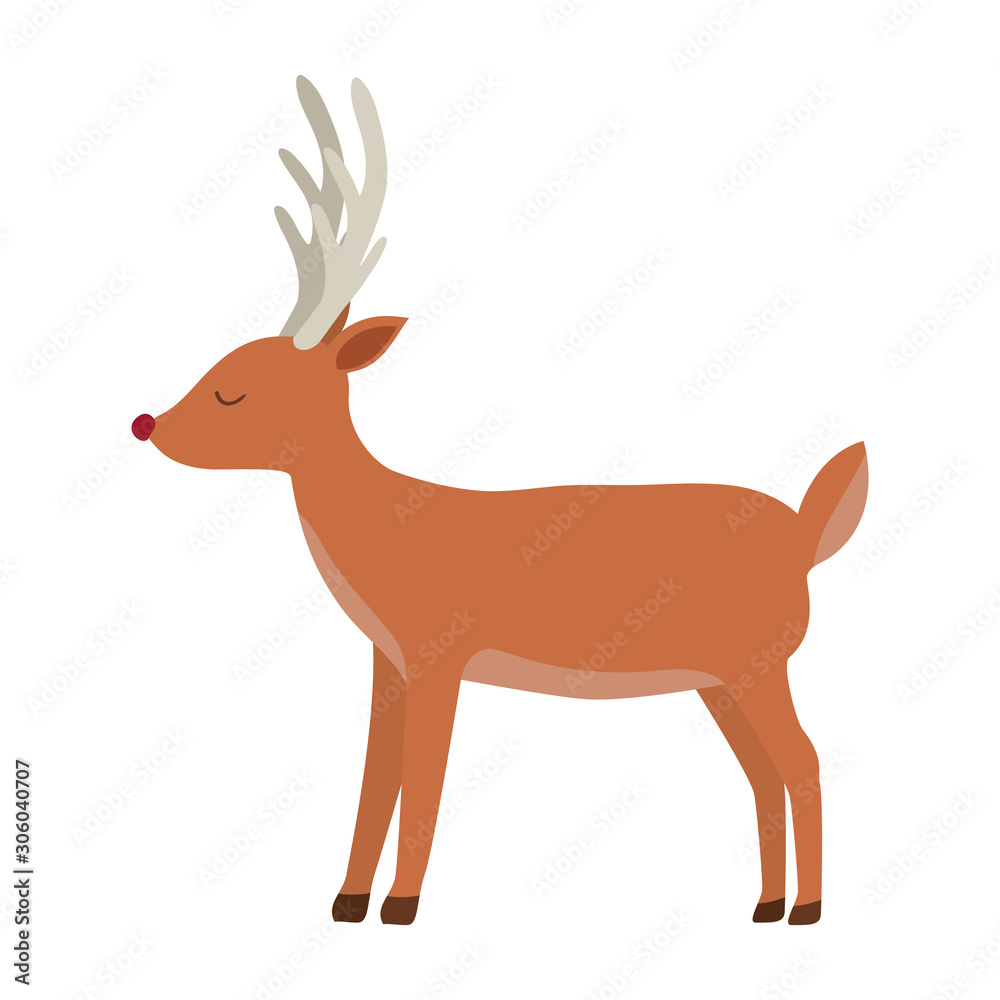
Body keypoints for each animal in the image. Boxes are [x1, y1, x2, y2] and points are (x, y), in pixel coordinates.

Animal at [132, 76, 868, 926]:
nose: (148, 424)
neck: (387, 521)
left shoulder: (439, 650)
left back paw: (806, 908)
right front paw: (347, 901)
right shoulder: (388, 658)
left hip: (760, 661)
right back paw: (766, 904)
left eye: (234, 389)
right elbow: (375, 779)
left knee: (805, 760)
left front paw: (401, 906)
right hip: (721, 678)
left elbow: (423, 777)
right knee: (763, 772)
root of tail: (808, 534)